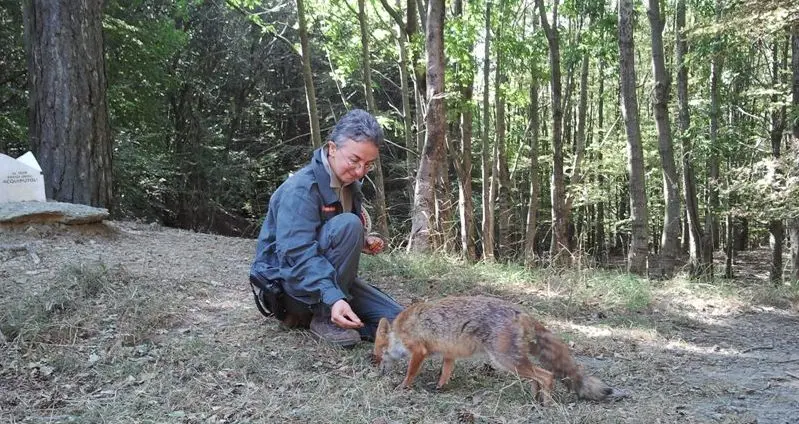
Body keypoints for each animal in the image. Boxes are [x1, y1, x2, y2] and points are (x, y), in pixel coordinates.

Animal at [372, 294, 620, 404]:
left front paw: (402, 387)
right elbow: (446, 372)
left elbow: (410, 372)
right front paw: (440, 387)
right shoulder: (449, 354)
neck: (399, 331)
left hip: (506, 361)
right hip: (514, 362)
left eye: (377, 356)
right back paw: (535, 398)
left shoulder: (419, 352)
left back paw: (546, 403)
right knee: (538, 377)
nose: (378, 373)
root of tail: (519, 310)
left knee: (547, 375)